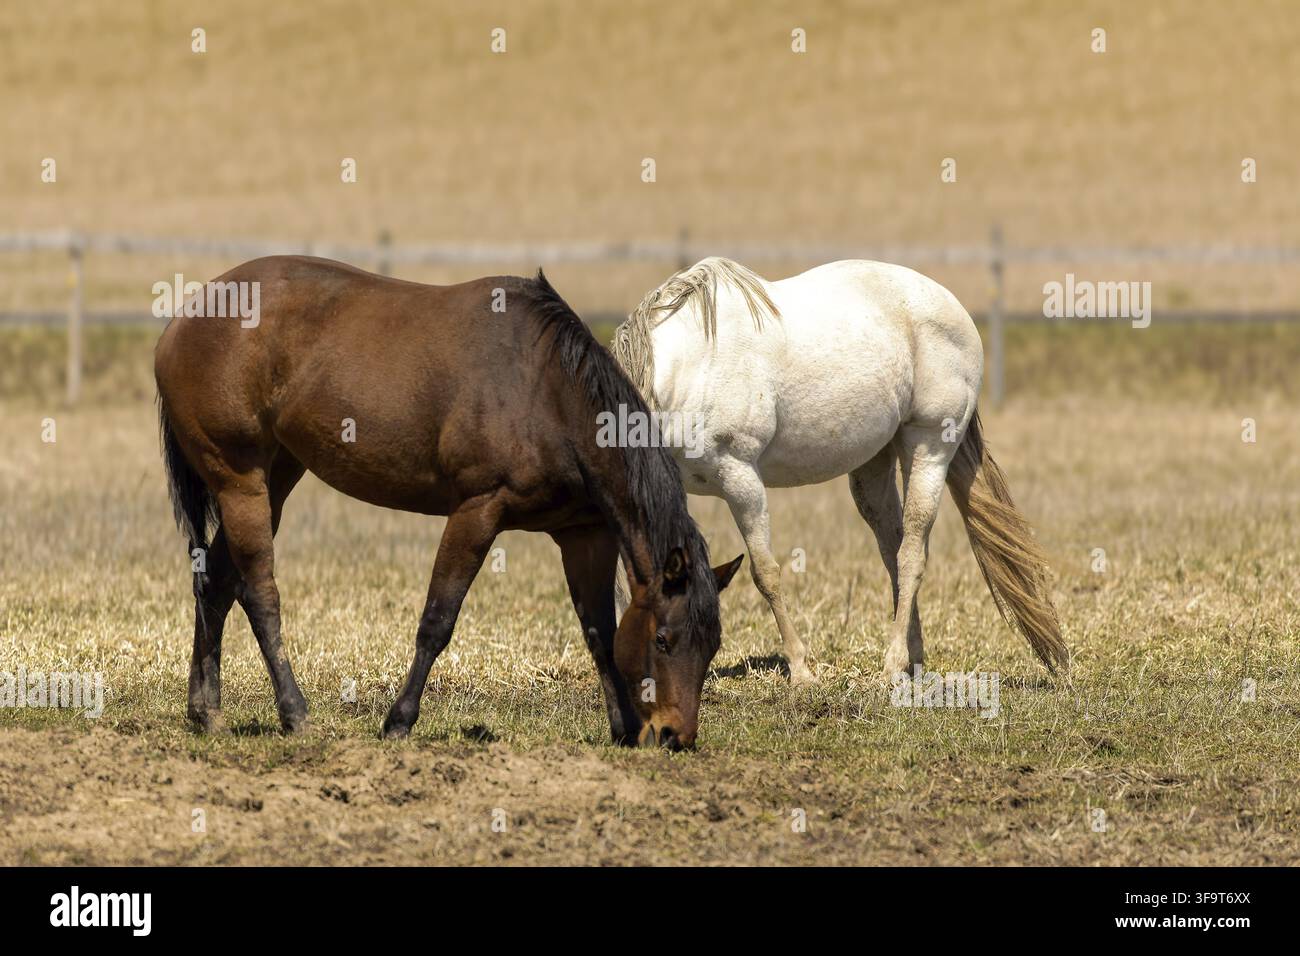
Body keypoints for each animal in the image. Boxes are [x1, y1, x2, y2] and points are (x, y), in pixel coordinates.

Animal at [154, 256, 743, 749]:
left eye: (712, 645)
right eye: (664, 639)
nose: (675, 736)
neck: (548, 391)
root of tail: (181, 324)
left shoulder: (584, 535)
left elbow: (598, 630)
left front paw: (621, 728)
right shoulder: (477, 511)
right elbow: (438, 620)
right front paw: (398, 721)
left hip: (275, 478)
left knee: (214, 583)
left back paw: (206, 713)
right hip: (240, 481)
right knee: (258, 593)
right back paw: (294, 713)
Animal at [611, 257, 1068, 683]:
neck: (687, 370)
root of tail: (951, 305)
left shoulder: (740, 478)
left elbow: (766, 573)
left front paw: (801, 671)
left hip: (930, 448)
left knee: (912, 554)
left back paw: (892, 665)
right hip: (874, 466)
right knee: (893, 552)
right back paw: (912, 660)